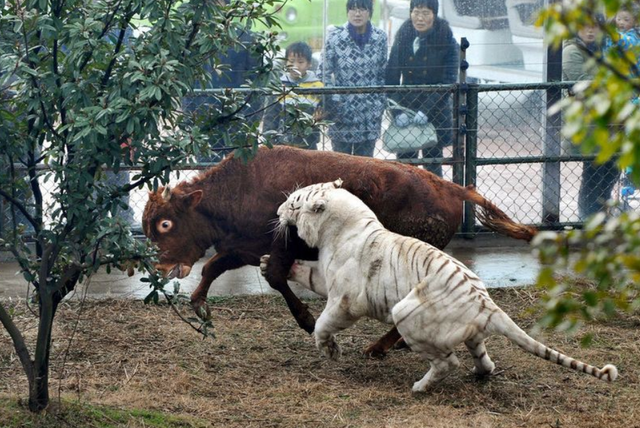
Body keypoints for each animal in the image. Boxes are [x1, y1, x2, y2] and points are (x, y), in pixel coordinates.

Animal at [142, 145, 536, 356]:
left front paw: (307, 320)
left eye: (165, 224)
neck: (240, 188)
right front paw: (200, 306)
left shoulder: (281, 245)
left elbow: (276, 276)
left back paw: (380, 347)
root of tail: (450, 188)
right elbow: (214, 267)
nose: (159, 270)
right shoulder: (243, 247)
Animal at [272, 179, 616, 392]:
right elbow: (309, 276)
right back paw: (481, 373)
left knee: (447, 362)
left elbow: (323, 324)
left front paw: (331, 351)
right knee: (482, 357)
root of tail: (486, 303)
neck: (337, 226)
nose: (276, 211)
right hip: (471, 333)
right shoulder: (326, 278)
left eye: (293, 204)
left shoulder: (345, 299)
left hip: (405, 312)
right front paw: (272, 264)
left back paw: (420, 387)